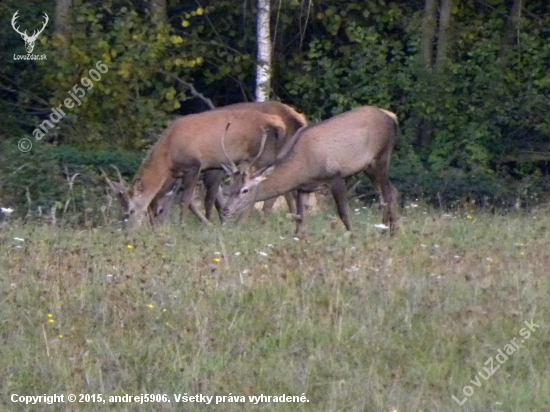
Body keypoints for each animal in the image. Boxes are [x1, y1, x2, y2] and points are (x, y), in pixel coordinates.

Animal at [106, 104, 306, 230]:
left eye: (131, 210)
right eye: (121, 210)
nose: (127, 230)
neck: (169, 155)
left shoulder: (195, 165)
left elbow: (187, 201)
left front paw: (185, 226)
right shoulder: (197, 170)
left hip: (263, 157)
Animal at [221, 106, 402, 235]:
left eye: (245, 190)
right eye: (231, 188)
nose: (225, 210)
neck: (303, 168)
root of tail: (392, 117)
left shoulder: (336, 176)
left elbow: (344, 213)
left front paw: (353, 237)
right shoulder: (304, 188)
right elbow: (300, 221)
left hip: (381, 156)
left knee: (387, 194)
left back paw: (390, 232)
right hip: (368, 167)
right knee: (391, 191)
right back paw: (386, 229)